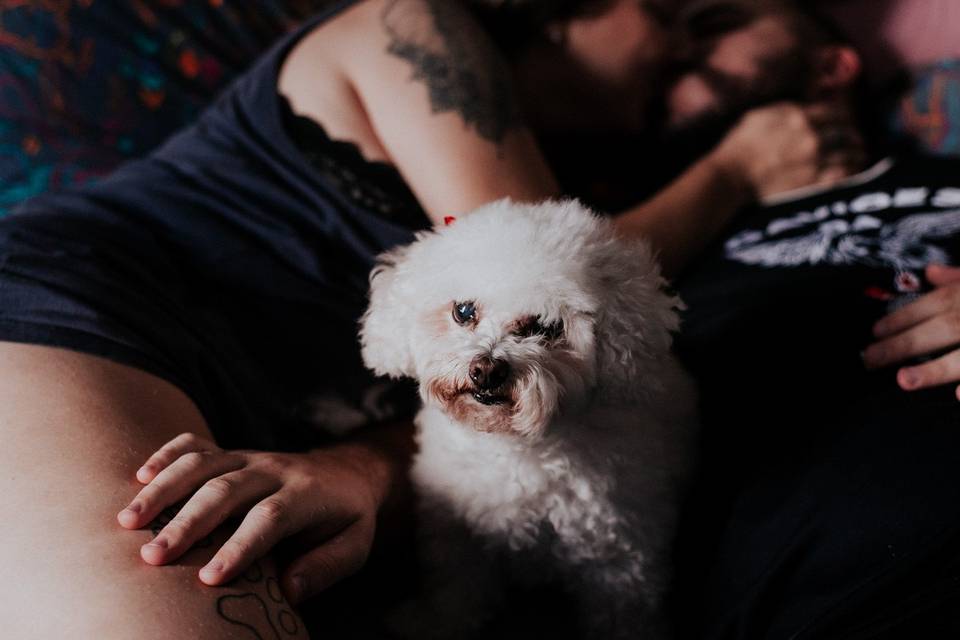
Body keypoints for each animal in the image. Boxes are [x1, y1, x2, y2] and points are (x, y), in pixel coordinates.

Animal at [360, 200, 696, 640]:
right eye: (463, 311)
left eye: (544, 326)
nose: (486, 370)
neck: (516, 447)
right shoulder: (458, 536)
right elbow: (456, 590)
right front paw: (436, 623)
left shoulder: (622, 560)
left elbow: (624, 616)